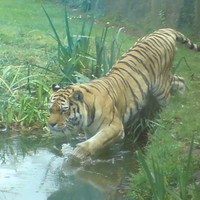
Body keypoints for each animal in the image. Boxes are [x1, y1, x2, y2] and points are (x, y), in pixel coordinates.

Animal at [47, 28, 200, 159]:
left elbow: (96, 142)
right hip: (165, 78)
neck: (86, 118)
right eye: (50, 110)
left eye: (64, 111)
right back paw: (183, 97)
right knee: (180, 80)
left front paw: (77, 154)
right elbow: (100, 144)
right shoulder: (91, 131)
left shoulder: (114, 126)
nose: (50, 125)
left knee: (167, 101)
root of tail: (164, 30)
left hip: (160, 86)